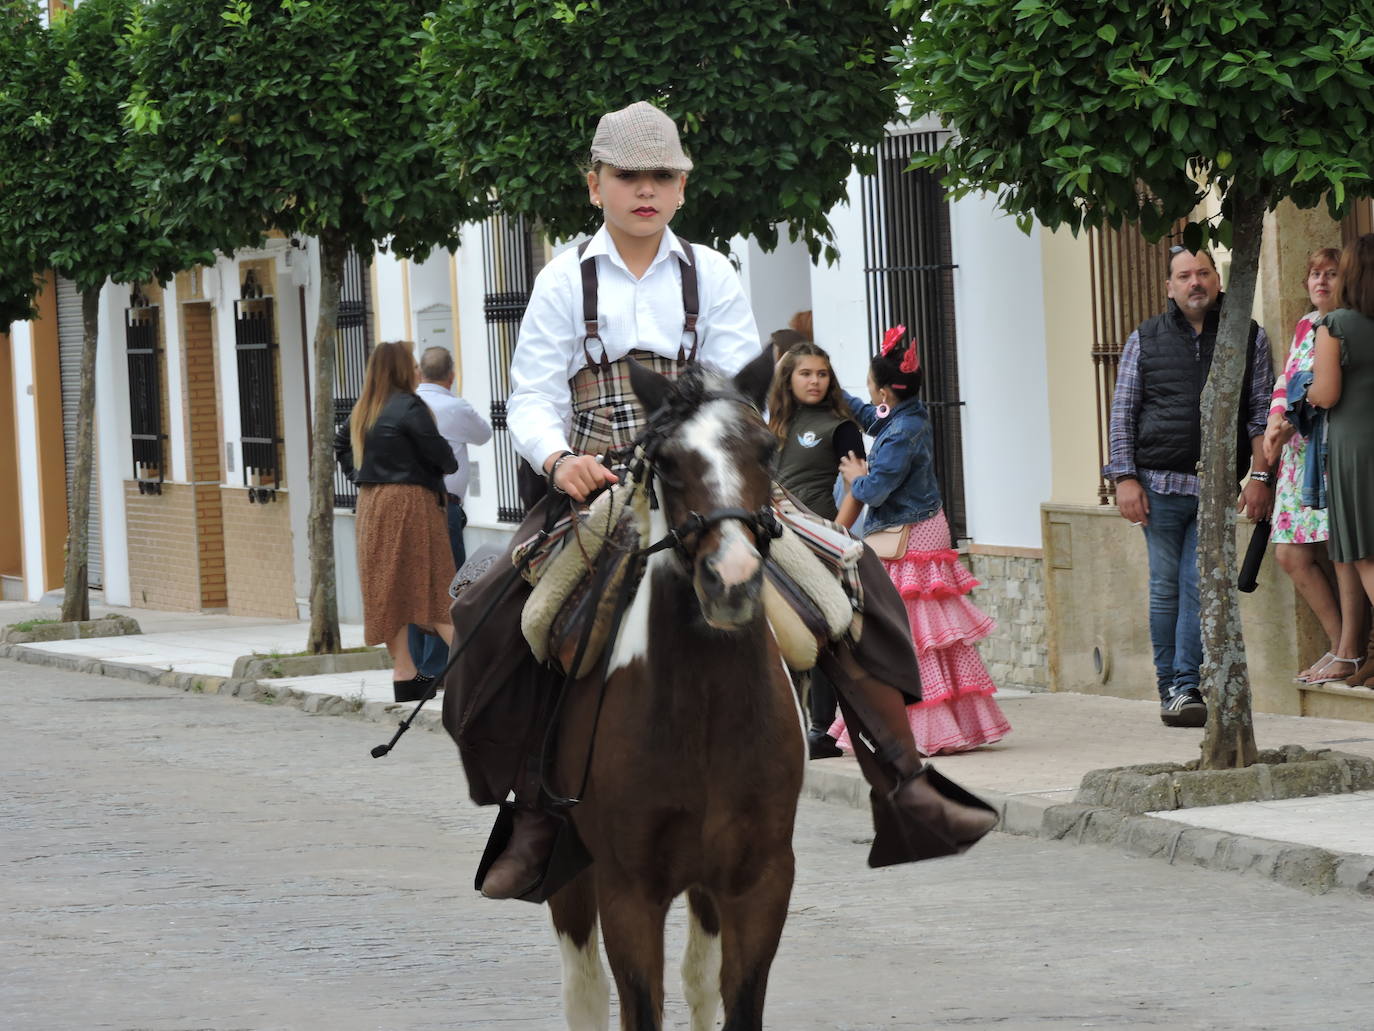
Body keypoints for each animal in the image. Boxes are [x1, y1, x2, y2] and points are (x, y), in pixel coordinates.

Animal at [545, 351, 805, 1031]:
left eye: (767, 449)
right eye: (665, 462)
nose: (731, 580)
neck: (704, 712)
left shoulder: (758, 882)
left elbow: (735, 1000)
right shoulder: (627, 890)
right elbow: (638, 1004)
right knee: (583, 990)